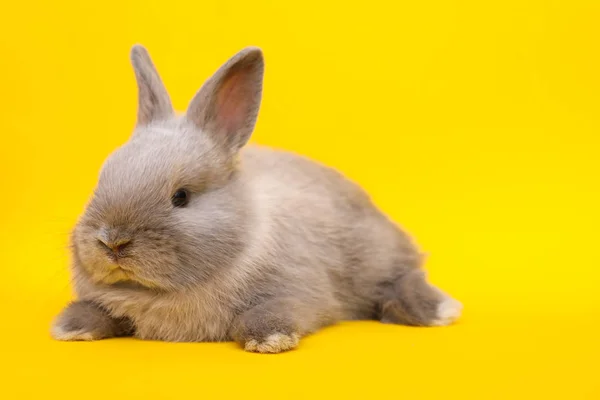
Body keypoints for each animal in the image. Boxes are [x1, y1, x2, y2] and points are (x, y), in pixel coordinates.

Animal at [51, 44, 464, 354]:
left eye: (181, 197)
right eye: (101, 180)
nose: (112, 242)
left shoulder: (301, 291)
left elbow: (272, 311)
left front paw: (269, 339)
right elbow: (98, 311)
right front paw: (70, 327)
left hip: (378, 256)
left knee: (404, 278)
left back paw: (439, 310)